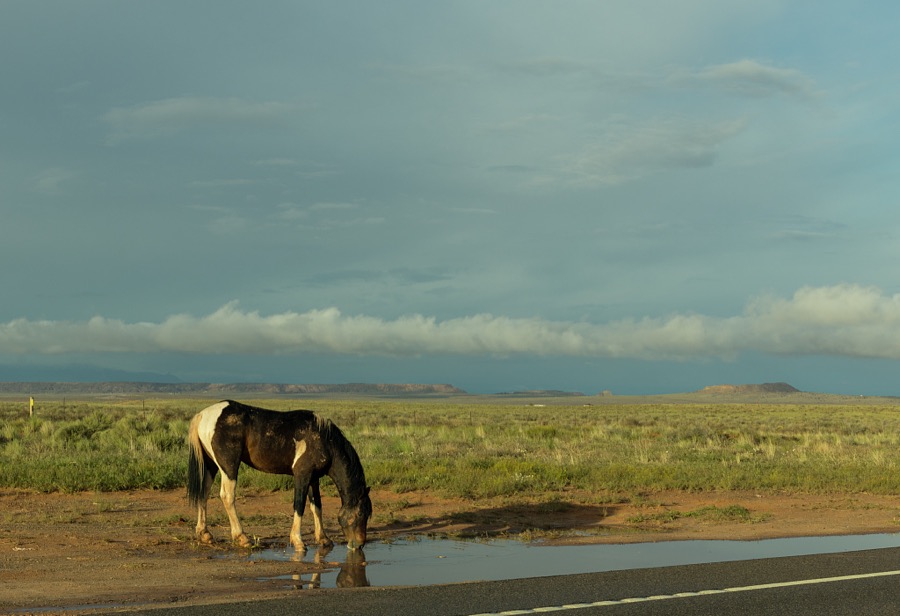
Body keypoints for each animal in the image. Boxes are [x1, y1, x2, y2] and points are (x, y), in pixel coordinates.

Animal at [187, 400, 371, 551]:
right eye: (362, 513)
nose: (359, 544)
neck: (324, 440)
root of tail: (203, 415)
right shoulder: (302, 475)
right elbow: (299, 505)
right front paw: (298, 541)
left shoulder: (313, 478)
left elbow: (316, 506)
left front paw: (323, 539)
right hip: (229, 466)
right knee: (227, 496)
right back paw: (242, 537)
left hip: (211, 466)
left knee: (204, 492)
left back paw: (205, 534)